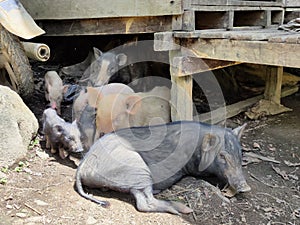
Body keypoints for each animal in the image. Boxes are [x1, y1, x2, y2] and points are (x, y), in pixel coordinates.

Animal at [75, 121, 251, 214]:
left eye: (240, 151)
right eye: (222, 155)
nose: (246, 187)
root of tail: (83, 165)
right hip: (137, 168)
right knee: (144, 204)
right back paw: (184, 210)